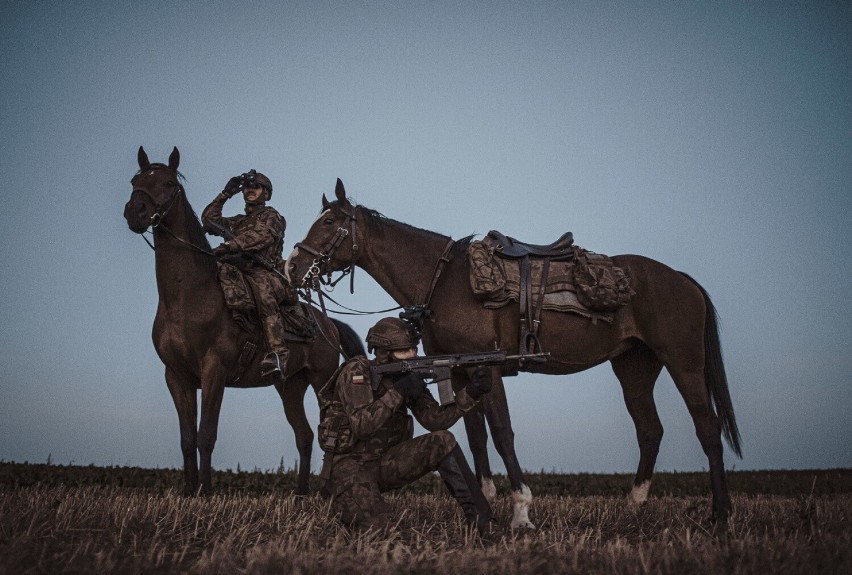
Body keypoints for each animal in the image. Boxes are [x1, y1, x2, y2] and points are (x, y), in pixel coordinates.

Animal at [123, 151, 362, 498]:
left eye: (168, 183)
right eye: (135, 181)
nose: (135, 212)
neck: (187, 296)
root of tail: (328, 324)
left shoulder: (215, 371)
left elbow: (206, 435)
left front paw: (205, 493)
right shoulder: (176, 376)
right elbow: (187, 439)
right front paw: (188, 492)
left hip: (322, 381)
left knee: (326, 429)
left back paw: (325, 491)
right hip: (289, 386)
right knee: (304, 436)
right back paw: (301, 494)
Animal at [284, 180, 740, 528]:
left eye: (328, 222)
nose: (292, 267)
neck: (446, 280)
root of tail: (681, 279)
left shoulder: (490, 368)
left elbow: (502, 434)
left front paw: (521, 510)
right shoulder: (460, 373)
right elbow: (474, 436)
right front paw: (484, 499)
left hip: (683, 362)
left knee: (707, 427)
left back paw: (720, 513)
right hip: (635, 368)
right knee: (650, 431)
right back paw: (634, 507)